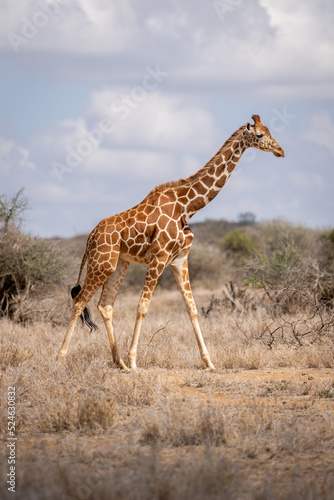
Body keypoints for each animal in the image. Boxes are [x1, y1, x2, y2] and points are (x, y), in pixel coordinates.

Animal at [57, 115, 284, 370]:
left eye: (269, 131)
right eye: (260, 135)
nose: (280, 150)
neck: (187, 207)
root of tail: (90, 236)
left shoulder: (180, 259)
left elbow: (191, 308)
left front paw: (209, 362)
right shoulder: (159, 257)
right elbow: (143, 307)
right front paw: (134, 360)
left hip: (117, 264)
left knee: (105, 305)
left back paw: (119, 363)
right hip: (101, 263)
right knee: (79, 302)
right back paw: (61, 358)